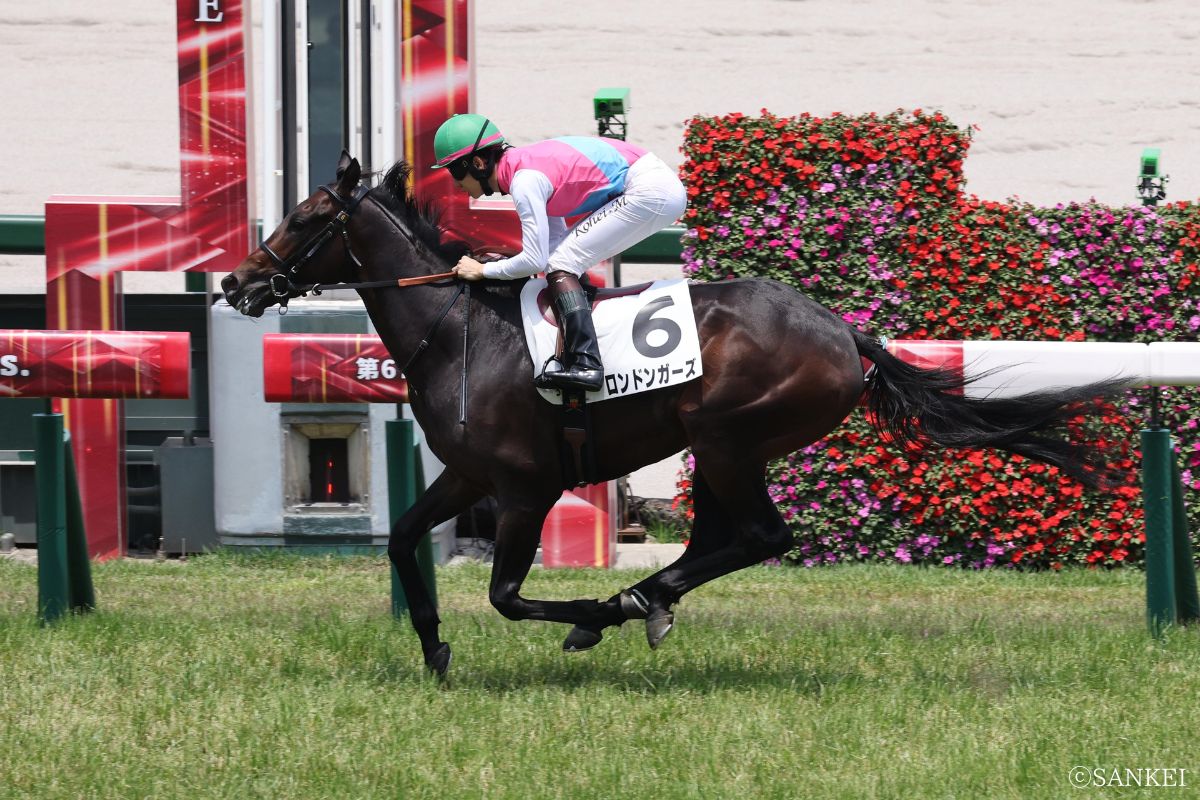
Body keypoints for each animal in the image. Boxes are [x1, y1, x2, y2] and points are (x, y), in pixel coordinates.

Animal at [221, 152, 1121, 676]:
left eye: (305, 219)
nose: (236, 282)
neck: (458, 333)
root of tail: (843, 331)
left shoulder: (524, 487)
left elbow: (508, 595)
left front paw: (586, 615)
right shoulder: (470, 475)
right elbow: (404, 541)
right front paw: (435, 649)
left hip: (728, 436)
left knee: (759, 536)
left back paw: (631, 603)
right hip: (716, 445)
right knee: (720, 540)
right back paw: (651, 599)